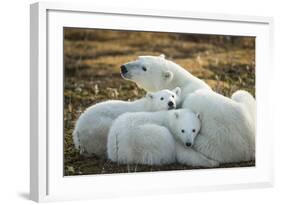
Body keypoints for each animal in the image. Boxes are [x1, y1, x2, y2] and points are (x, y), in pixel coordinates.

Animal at [119, 54, 255, 165]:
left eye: (144, 68)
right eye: (138, 58)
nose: (123, 67)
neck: (180, 83)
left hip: (219, 145)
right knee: (240, 93)